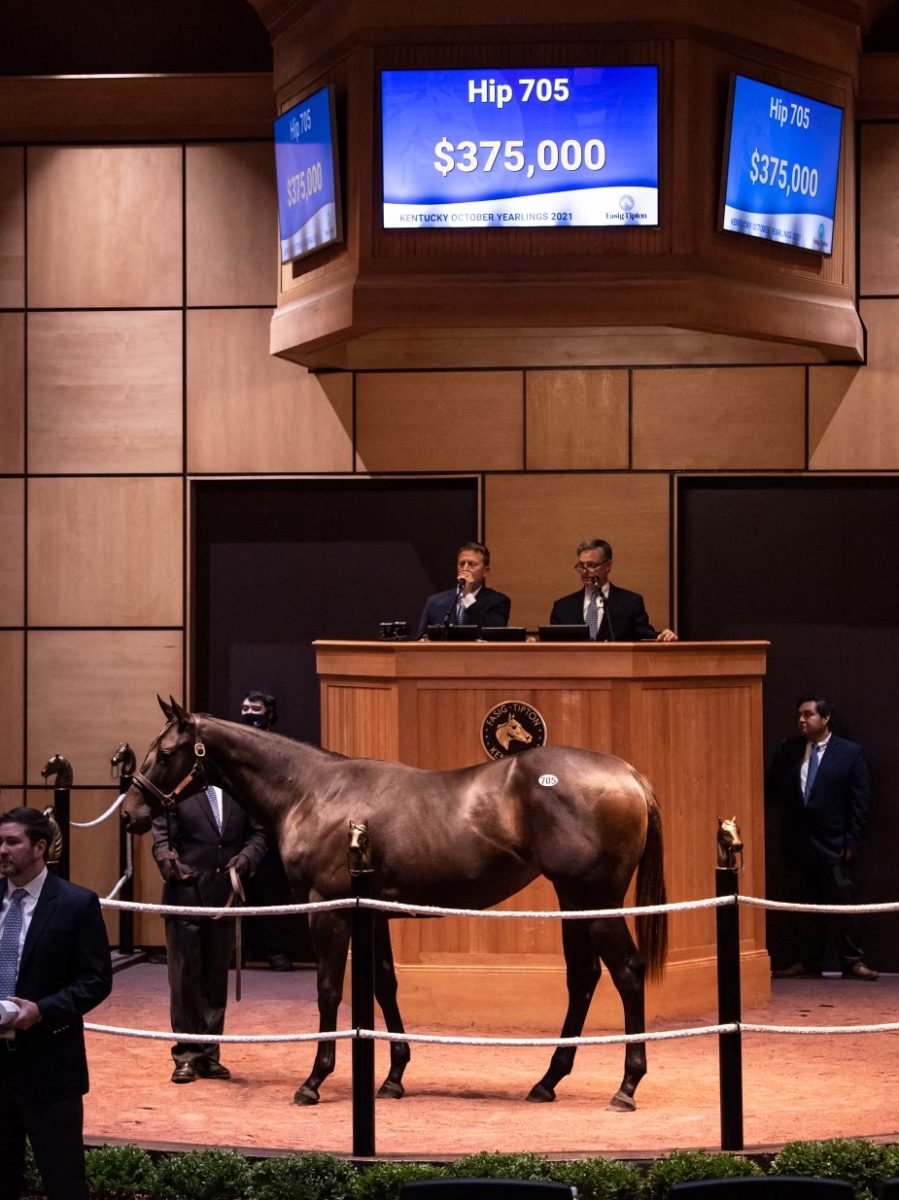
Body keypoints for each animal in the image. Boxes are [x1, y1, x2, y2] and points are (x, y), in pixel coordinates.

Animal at [121, 700, 667, 1108]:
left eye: (165, 753)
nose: (130, 813)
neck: (313, 792)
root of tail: (629, 775)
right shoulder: (372, 912)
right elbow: (384, 985)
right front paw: (394, 1077)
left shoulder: (330, 911)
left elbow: (328, 991)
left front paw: (313, 1081)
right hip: (574, 900)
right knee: (584, 979)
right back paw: (548, 1081)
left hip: (597, 900)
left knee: (626, 972)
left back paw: (627, 1086)